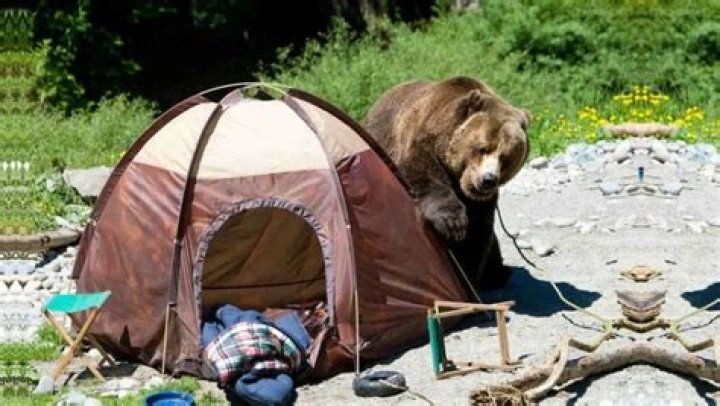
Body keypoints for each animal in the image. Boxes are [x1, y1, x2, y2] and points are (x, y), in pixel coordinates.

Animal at [363, 76, 530, 290]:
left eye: (506, 157)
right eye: (483, 148)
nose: (488, 180)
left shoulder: (481, 202)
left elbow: (478, 232)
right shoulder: (422, 143)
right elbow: (426, 178)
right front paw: (452, 224)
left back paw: (499, 273)